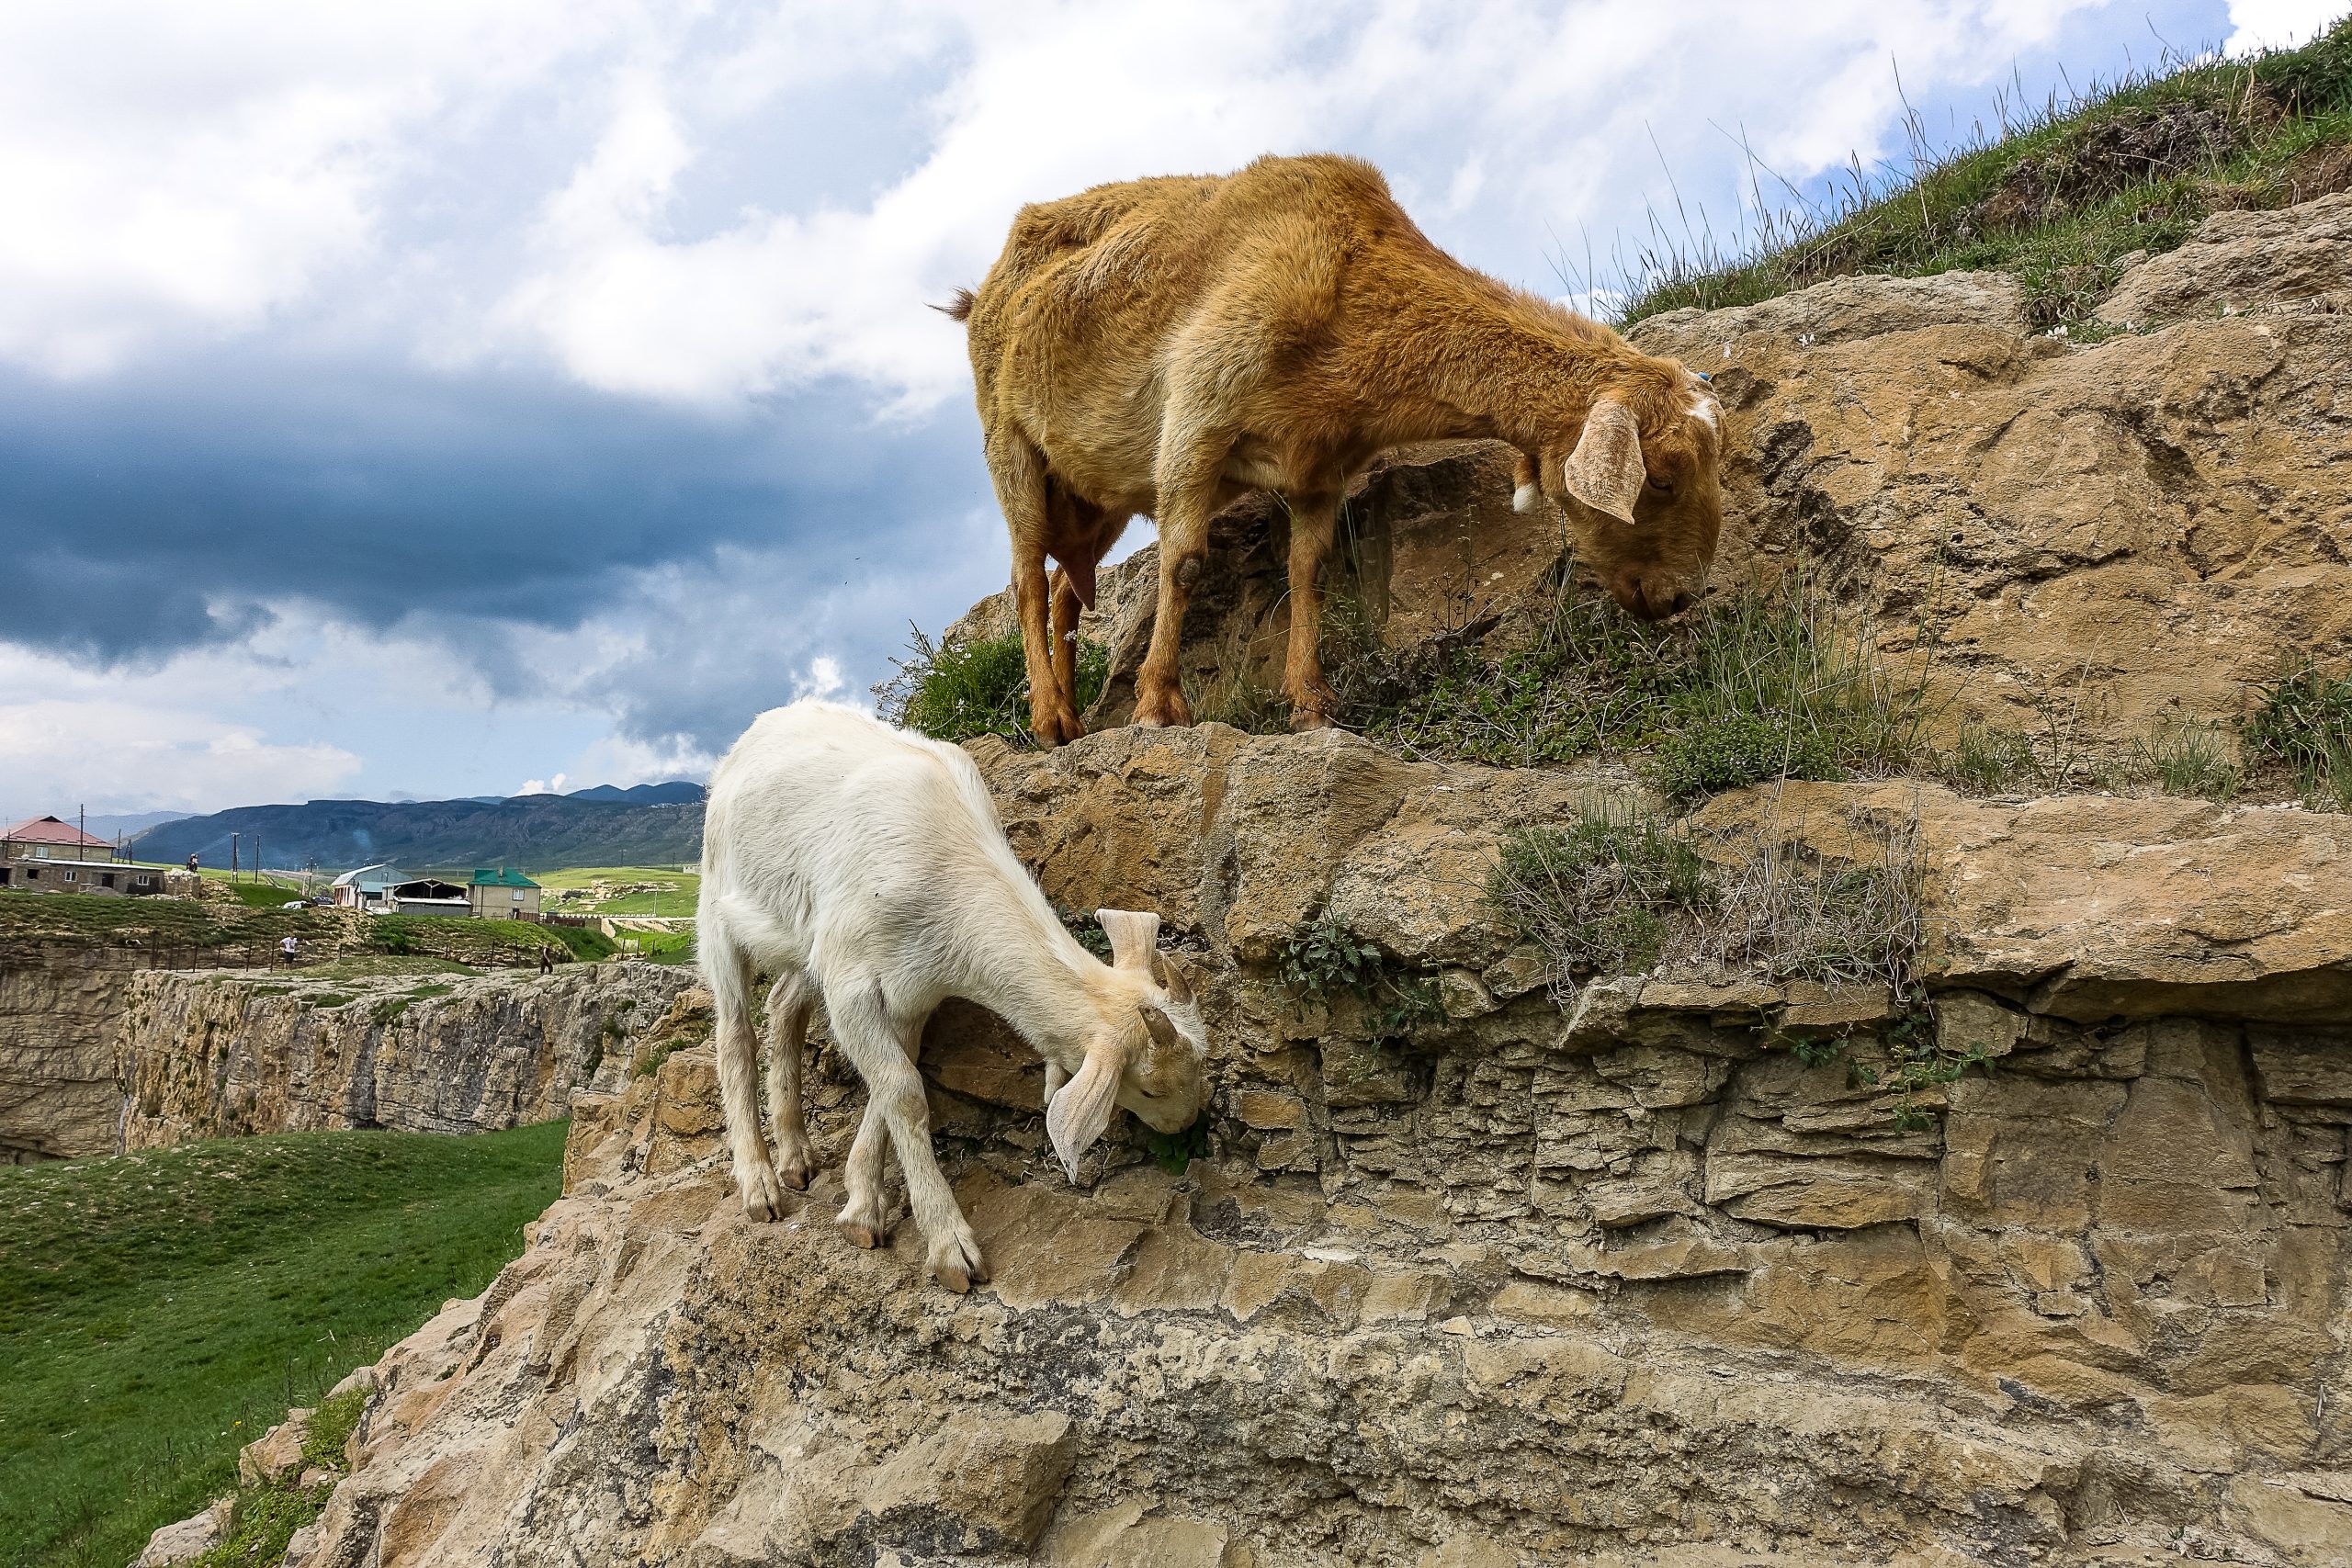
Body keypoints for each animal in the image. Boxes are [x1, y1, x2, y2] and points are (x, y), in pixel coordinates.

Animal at [695, 705, 1213, 1297]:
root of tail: (760, 726)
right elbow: (903, 1092)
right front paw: (949, 1247)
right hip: (717, 899)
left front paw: (861, 1207)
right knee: (734, 1034)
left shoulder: (912, 991)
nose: (1186, 1123)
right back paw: (759, 1185)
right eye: (1149, 1088)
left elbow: (891, 1088)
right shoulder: (851, 979)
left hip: (803, 934)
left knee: (783, 1005)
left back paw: (796, 1157)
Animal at [955, 156, 1731, 747]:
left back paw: (1074, 715)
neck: (1355, 291)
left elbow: (1310, 572)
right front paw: (1158, 708)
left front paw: (1311, 704)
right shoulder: (1196, 417)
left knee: (1066, 591)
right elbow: (1183, 565)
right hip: (1010, 446)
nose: (1679, 594)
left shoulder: (1320, 471)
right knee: (1027, 579)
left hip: (1095, 491)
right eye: (1662, 477)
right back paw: (1049, 718)